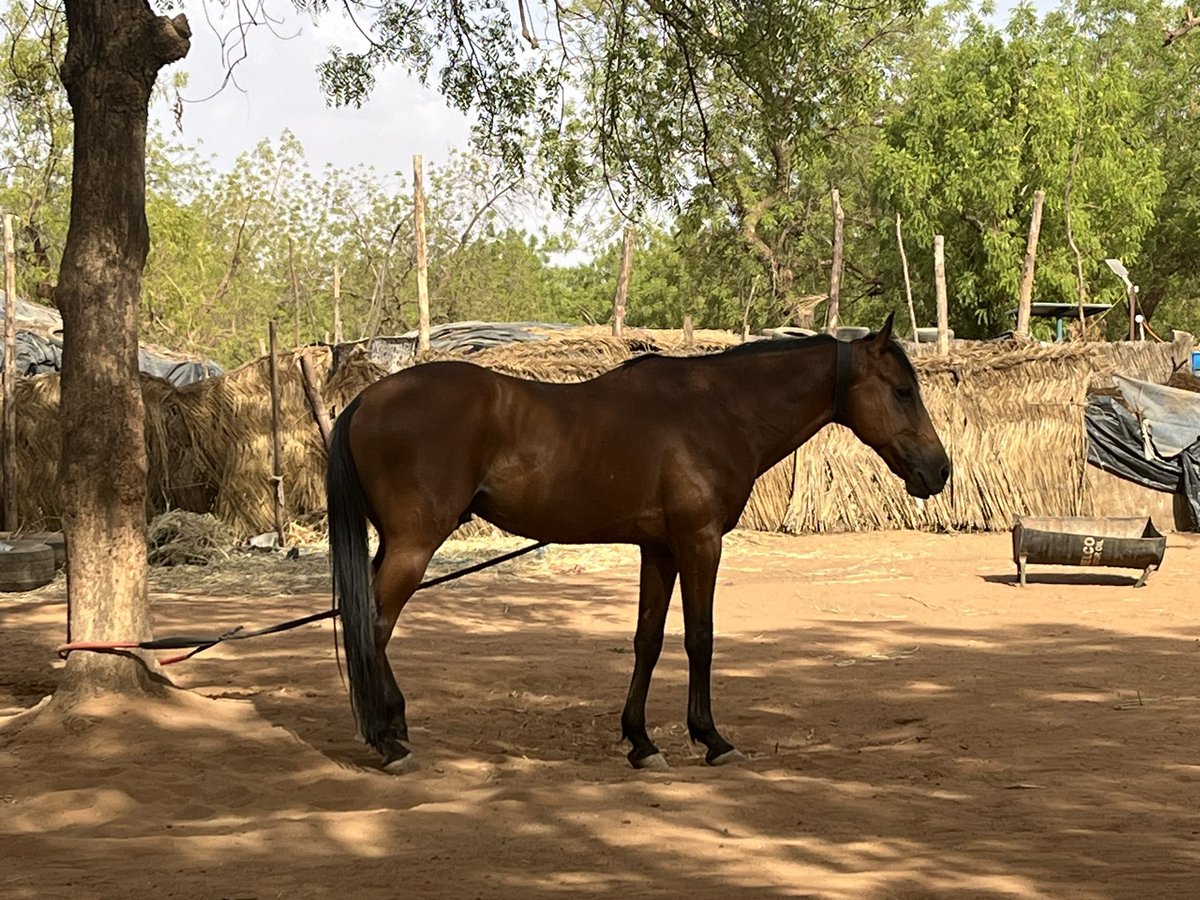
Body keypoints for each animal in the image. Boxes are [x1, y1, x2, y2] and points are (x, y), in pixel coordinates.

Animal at [326, 314, 945, 772]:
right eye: (902, 391)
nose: (939, 471)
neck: (716, 410)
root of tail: (365, 401)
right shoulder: (699, 543)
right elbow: (700, 638)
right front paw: (712, 739)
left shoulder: (661, 549)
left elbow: (648, 640)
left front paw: (642, 742)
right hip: (413, 546)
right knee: (374, 626)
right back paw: (389, 743)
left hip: (393, 545)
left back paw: (393, 726)